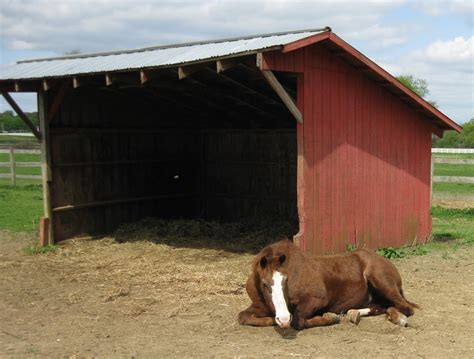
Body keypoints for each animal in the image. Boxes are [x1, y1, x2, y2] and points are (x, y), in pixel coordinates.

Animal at [239, 240, 416, 330]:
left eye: (286, 280)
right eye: (264, 283)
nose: (283, 319)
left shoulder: (317, 299)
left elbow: (298, 321)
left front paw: (330, 317)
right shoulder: (260, 307)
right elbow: (243, 317)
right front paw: (271, 320)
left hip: (382, 283)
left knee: (404, 307)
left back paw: (399, 318)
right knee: (380, 306)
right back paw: (353, 313)